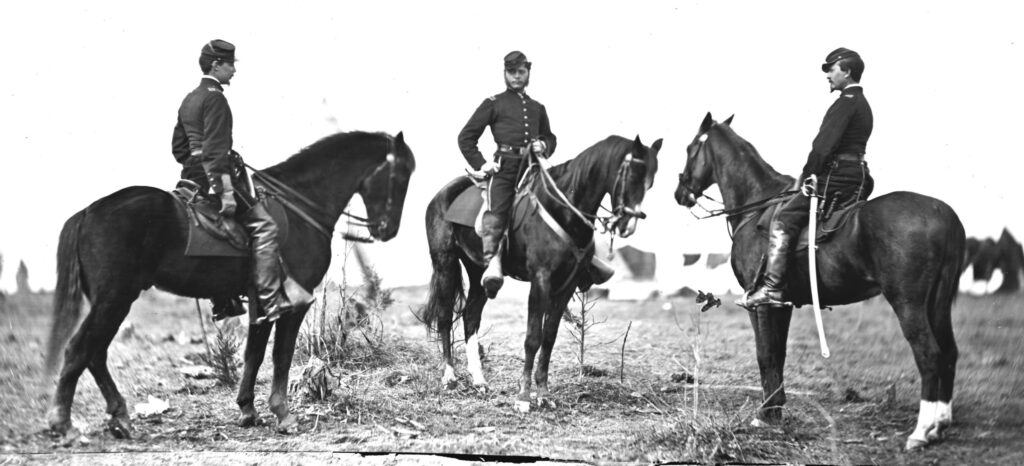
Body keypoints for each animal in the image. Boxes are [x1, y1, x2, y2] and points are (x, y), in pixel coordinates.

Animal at [44, 130, 415, 438]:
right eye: (399, 176)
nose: (388, 230)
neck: (300, 203)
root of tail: (88, 212)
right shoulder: (292, 304)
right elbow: (280, 355)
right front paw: (283, 415)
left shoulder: (261, 301)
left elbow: (254, 353)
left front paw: (248, 411)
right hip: (115, 299)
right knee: (80, 350)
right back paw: (63, 423)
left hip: (111, 301)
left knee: (95, 354)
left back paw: (119, 417)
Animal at [421, 135, 662, 411]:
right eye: (631, 175)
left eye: (650, 181)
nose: (627, 225)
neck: (563, 210)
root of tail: (443, 193)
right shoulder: (540, 280)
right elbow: (532, 338)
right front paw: (524, 397)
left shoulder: (566, 286)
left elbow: (549, 338)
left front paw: (544, 394)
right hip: (446, 264)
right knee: (444, 316)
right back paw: (449, 376)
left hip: (478, 274)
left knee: (470, 318)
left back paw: (479, 381)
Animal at [674, 113, 964, 450]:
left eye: (690, 148)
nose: (680, 193)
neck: (757, 204)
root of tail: (943, 212)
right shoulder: (781, 305)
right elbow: (778, 355)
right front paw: (775, 411)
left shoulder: (760, 305)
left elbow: (765, 355)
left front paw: (766, 414)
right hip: (938, 305)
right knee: (949, 353)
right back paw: (940, 425)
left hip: (908, 304)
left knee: (930, 355)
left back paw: (921, 431)